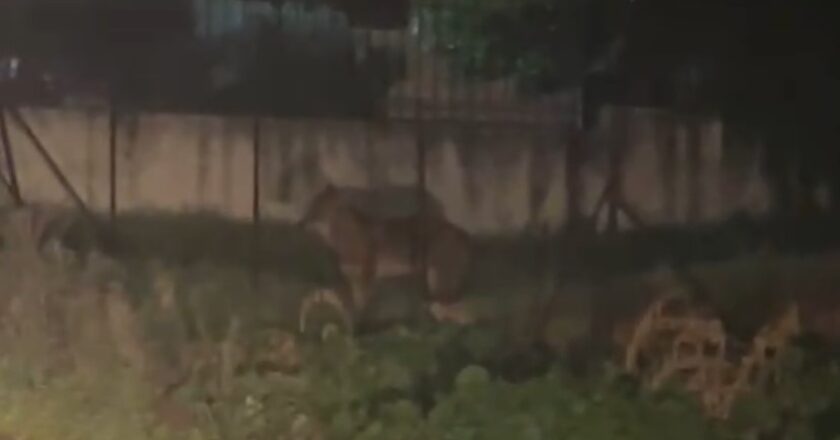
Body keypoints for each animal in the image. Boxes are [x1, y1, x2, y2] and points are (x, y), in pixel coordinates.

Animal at [299, 184, 472, 317]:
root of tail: (461, 232)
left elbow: (361, 311)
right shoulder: (352, 279)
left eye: (314, 211)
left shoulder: (367, 278)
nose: (301, 223)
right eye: (310, 209)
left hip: (438, 281)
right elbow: (352, 311)